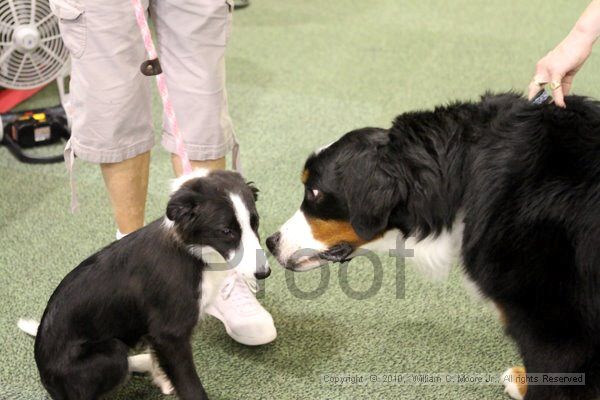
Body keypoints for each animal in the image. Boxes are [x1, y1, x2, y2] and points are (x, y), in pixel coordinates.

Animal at [20, 170, 270, 400]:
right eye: (226, 231)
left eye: (255, 223)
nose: (264, 273)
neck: (193, 254)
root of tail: (43, 371)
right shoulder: (170, 335)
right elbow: (190, 385)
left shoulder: (158, 331)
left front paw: (162, 377)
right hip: (111, 353)